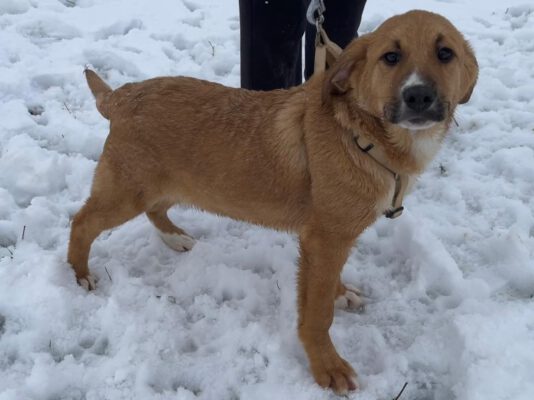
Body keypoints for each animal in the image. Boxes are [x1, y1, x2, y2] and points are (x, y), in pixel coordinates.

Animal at [68, 10, 478, 394]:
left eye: (445, 53)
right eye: (391, 57)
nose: (418, 96)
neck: (362, 136)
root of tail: (120, 97)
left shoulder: (334, 240)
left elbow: (329, 284)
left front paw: (340, 294)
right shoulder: (323, 240)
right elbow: (317, 314)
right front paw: (326, 366)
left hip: (163, 185)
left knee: (155, 209)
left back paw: (173, 237)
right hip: (125, 192)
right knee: (82, 222)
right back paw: (80, 273)